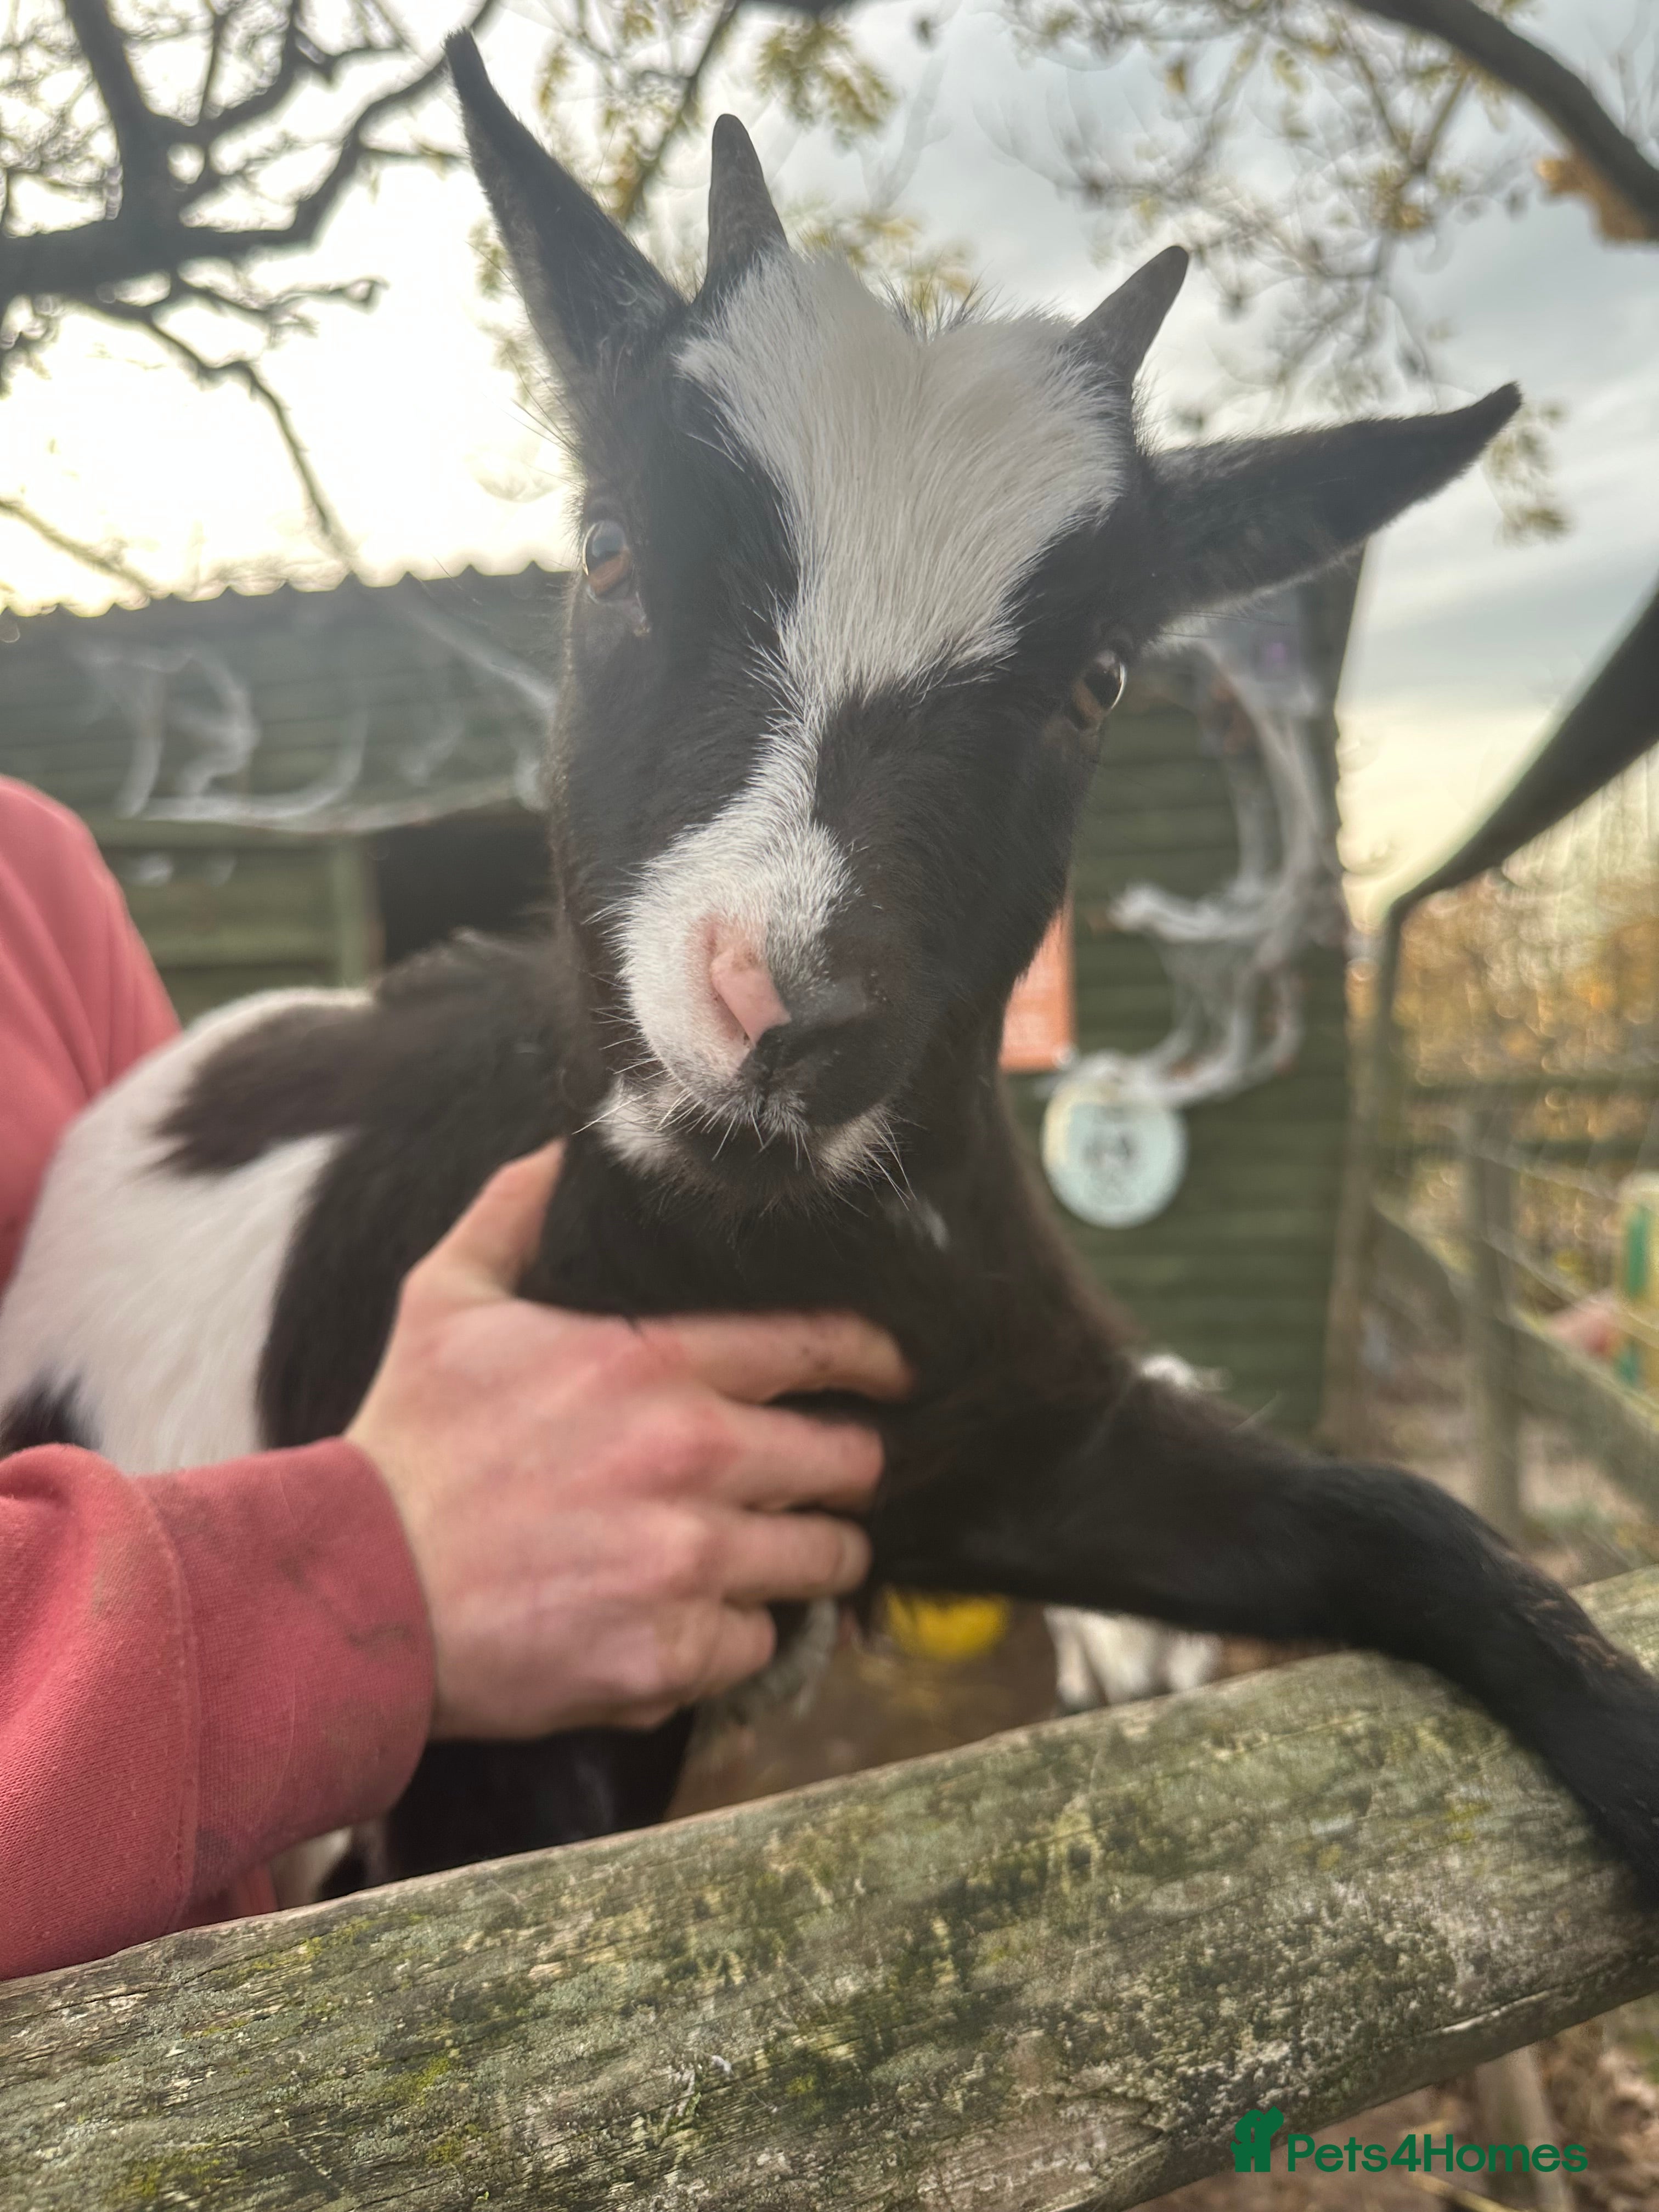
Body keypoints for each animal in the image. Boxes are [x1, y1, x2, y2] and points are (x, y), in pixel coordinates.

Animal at [3, 35, 1657, 1900]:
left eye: (1100, 677)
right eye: (608, 553)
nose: (787, 1005)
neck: (763, 1250)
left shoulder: (1034, 1429)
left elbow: (1404, 1519)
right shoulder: (513, 1722)